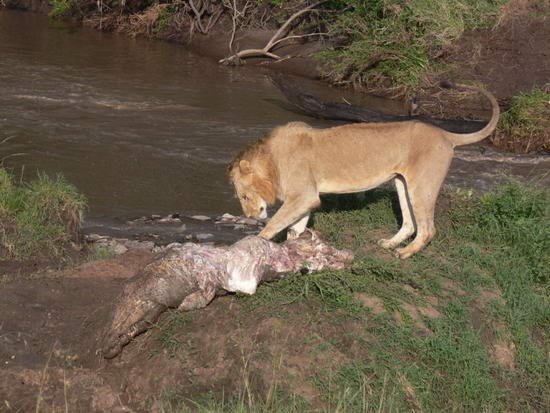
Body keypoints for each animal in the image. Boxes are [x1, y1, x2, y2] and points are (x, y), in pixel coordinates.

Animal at [227, 82, 500, 258]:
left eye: (244, 196)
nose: (249, 215)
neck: (271, 161)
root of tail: (446, 134)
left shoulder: (303, 195)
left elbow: (275, 223)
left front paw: (252, 244)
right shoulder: (305, 197)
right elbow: (295, 226)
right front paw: (292, 249)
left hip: (423, 186)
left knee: (428, 229)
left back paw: (405, 253)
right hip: (403, 183)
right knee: (410, 223)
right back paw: (389, 244)